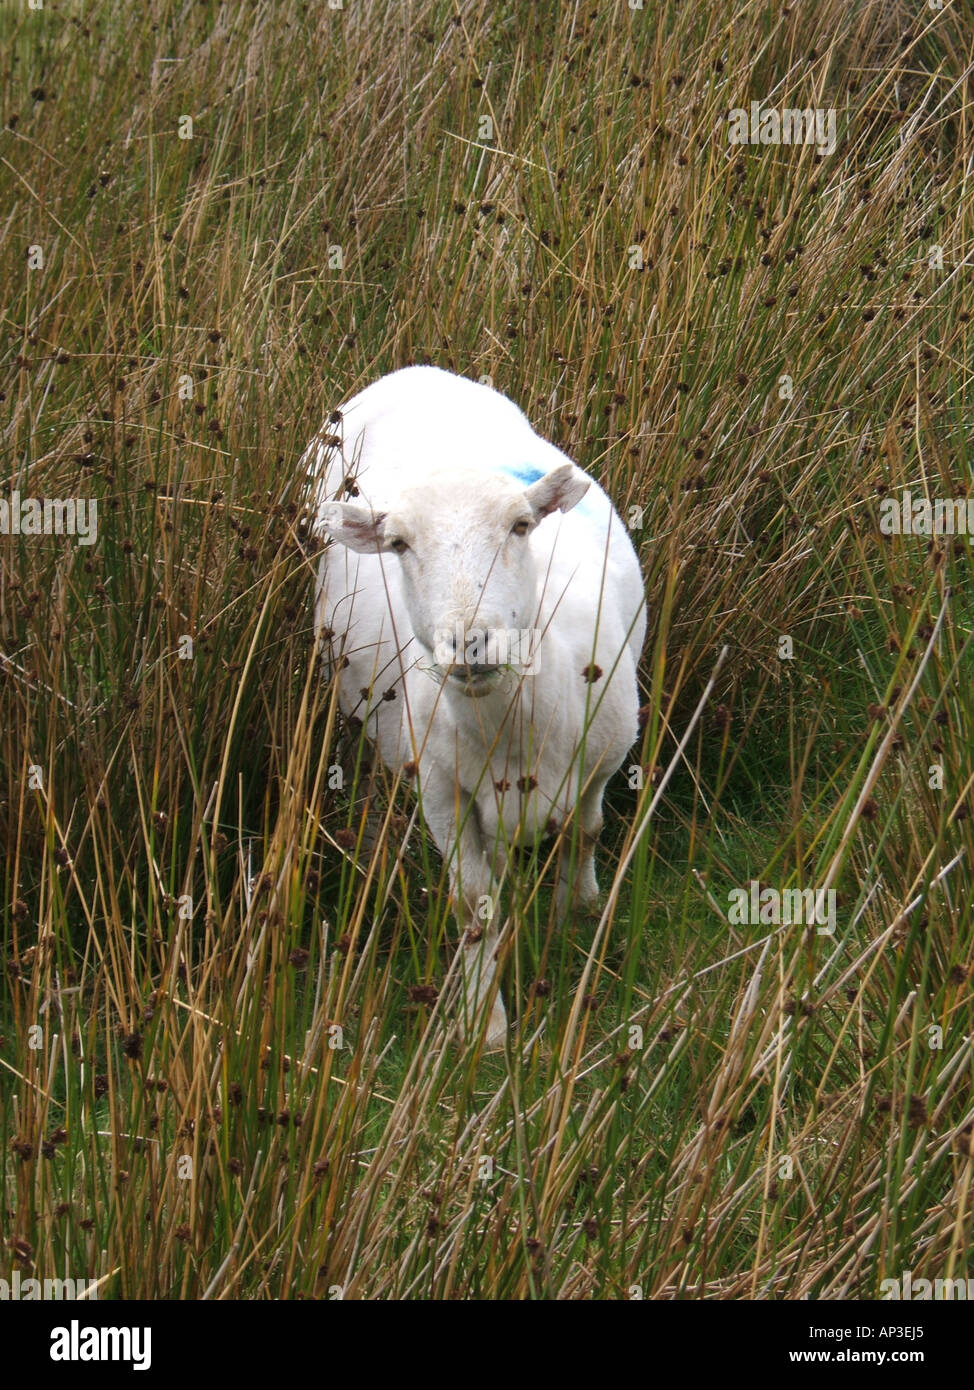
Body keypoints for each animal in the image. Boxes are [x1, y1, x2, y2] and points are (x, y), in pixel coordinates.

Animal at [306, 366, 646, 1048]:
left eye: (520, 526)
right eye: (398, 542)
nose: (468, 642)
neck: (510, 721)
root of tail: (415, 369)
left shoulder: (604, 758)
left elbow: (585, 831)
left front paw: (578, 913)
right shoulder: (441, 788)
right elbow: (472, 903)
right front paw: (484, 1025)